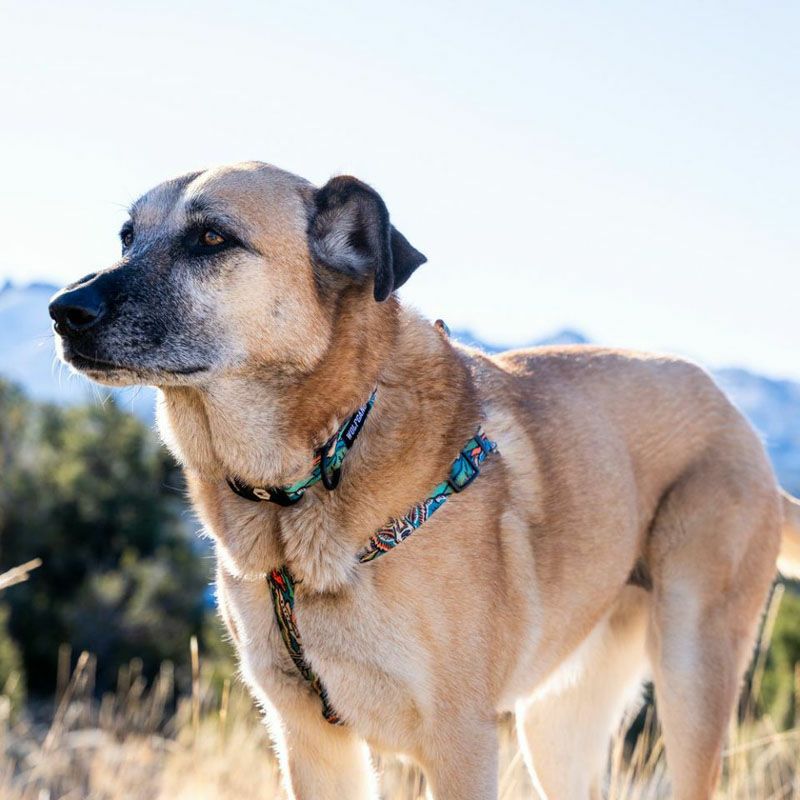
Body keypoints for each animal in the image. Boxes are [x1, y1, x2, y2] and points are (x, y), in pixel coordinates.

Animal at [50, 161, 800, 799]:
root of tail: (740, 423)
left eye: (211, 238)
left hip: (692, 671)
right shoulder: (311, 742)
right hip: (558, 721)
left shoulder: (460, 740)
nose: (64, 310)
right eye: (127, 236)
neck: (320, 462)